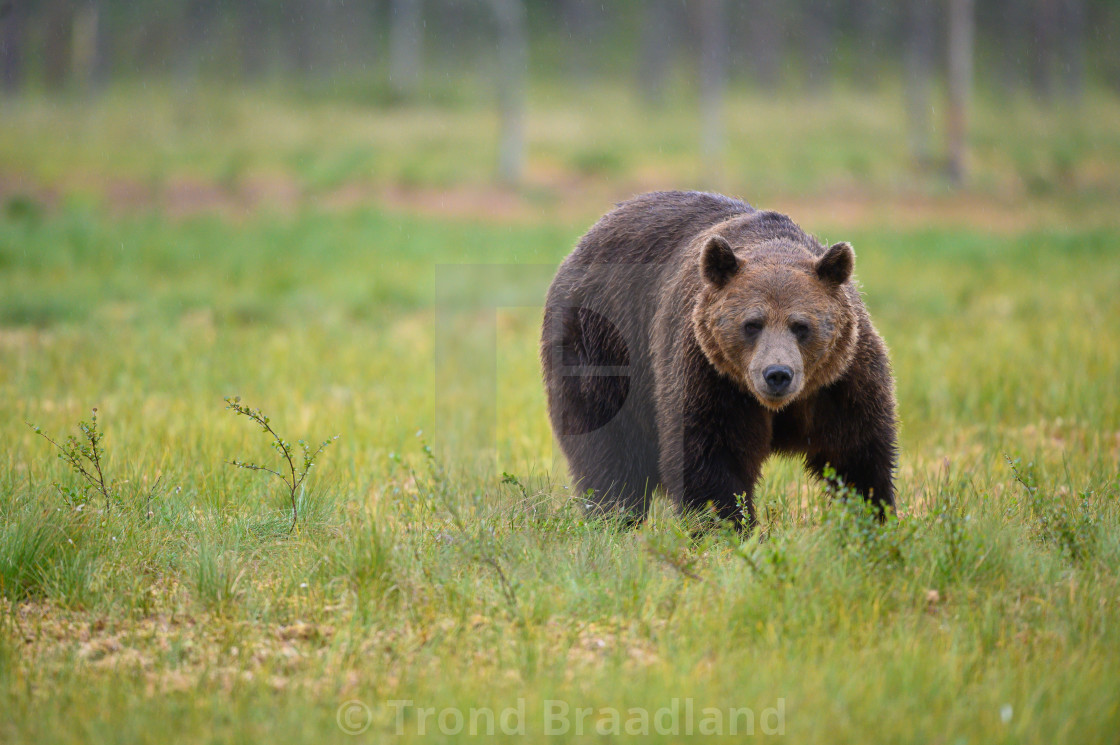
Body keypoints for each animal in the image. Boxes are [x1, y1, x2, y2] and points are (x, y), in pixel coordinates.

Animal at [537, 191, 896, 522]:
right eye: (752, 324)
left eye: (801, 326)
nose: (777, 374)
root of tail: (588, 237)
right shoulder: (710, 376)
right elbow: (710, 457)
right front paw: (728, 526)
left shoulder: (841, 381)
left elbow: (859, 455)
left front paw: (874, 517)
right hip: (604, 344)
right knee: (610, 447)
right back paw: (614, 515)